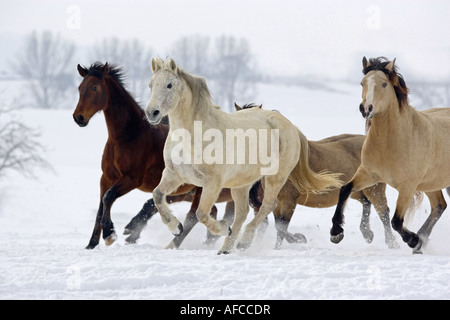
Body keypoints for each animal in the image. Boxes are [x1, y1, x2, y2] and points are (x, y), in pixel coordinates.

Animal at [73, 61, 232, 249]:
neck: (127, 136)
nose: (78, 117)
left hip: (200, 187)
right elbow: (101, 207)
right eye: (80, 88)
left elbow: (108, 198)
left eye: (95, 88)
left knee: (193, 215)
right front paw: (91, 244)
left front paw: (110, 234)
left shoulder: (132, 179)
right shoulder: (106, 178)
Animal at [144, 57, 342, 252]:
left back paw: (244, 241)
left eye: (169, 85)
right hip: (242, 183)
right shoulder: (175, 175)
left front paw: (222, 228)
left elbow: (201, 214)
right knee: (243, 212)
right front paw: (176, 227)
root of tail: (291, 126)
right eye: (151, 84)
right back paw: (226, 248)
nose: (152, 113)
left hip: (275, 177)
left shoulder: (212, 183)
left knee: (267, 206)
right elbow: (157, 195)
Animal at [330, 57, 450, 252]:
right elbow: (344, 189)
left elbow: (396, 221)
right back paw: (421, 241)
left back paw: (419, 241)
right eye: (362, 83)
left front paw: (413, 240)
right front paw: (336, 232)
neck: (389, 143)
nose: (366, 108)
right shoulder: (369, 175)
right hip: (432, 182)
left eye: (384, 84)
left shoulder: (407, 187)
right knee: (439, 206)